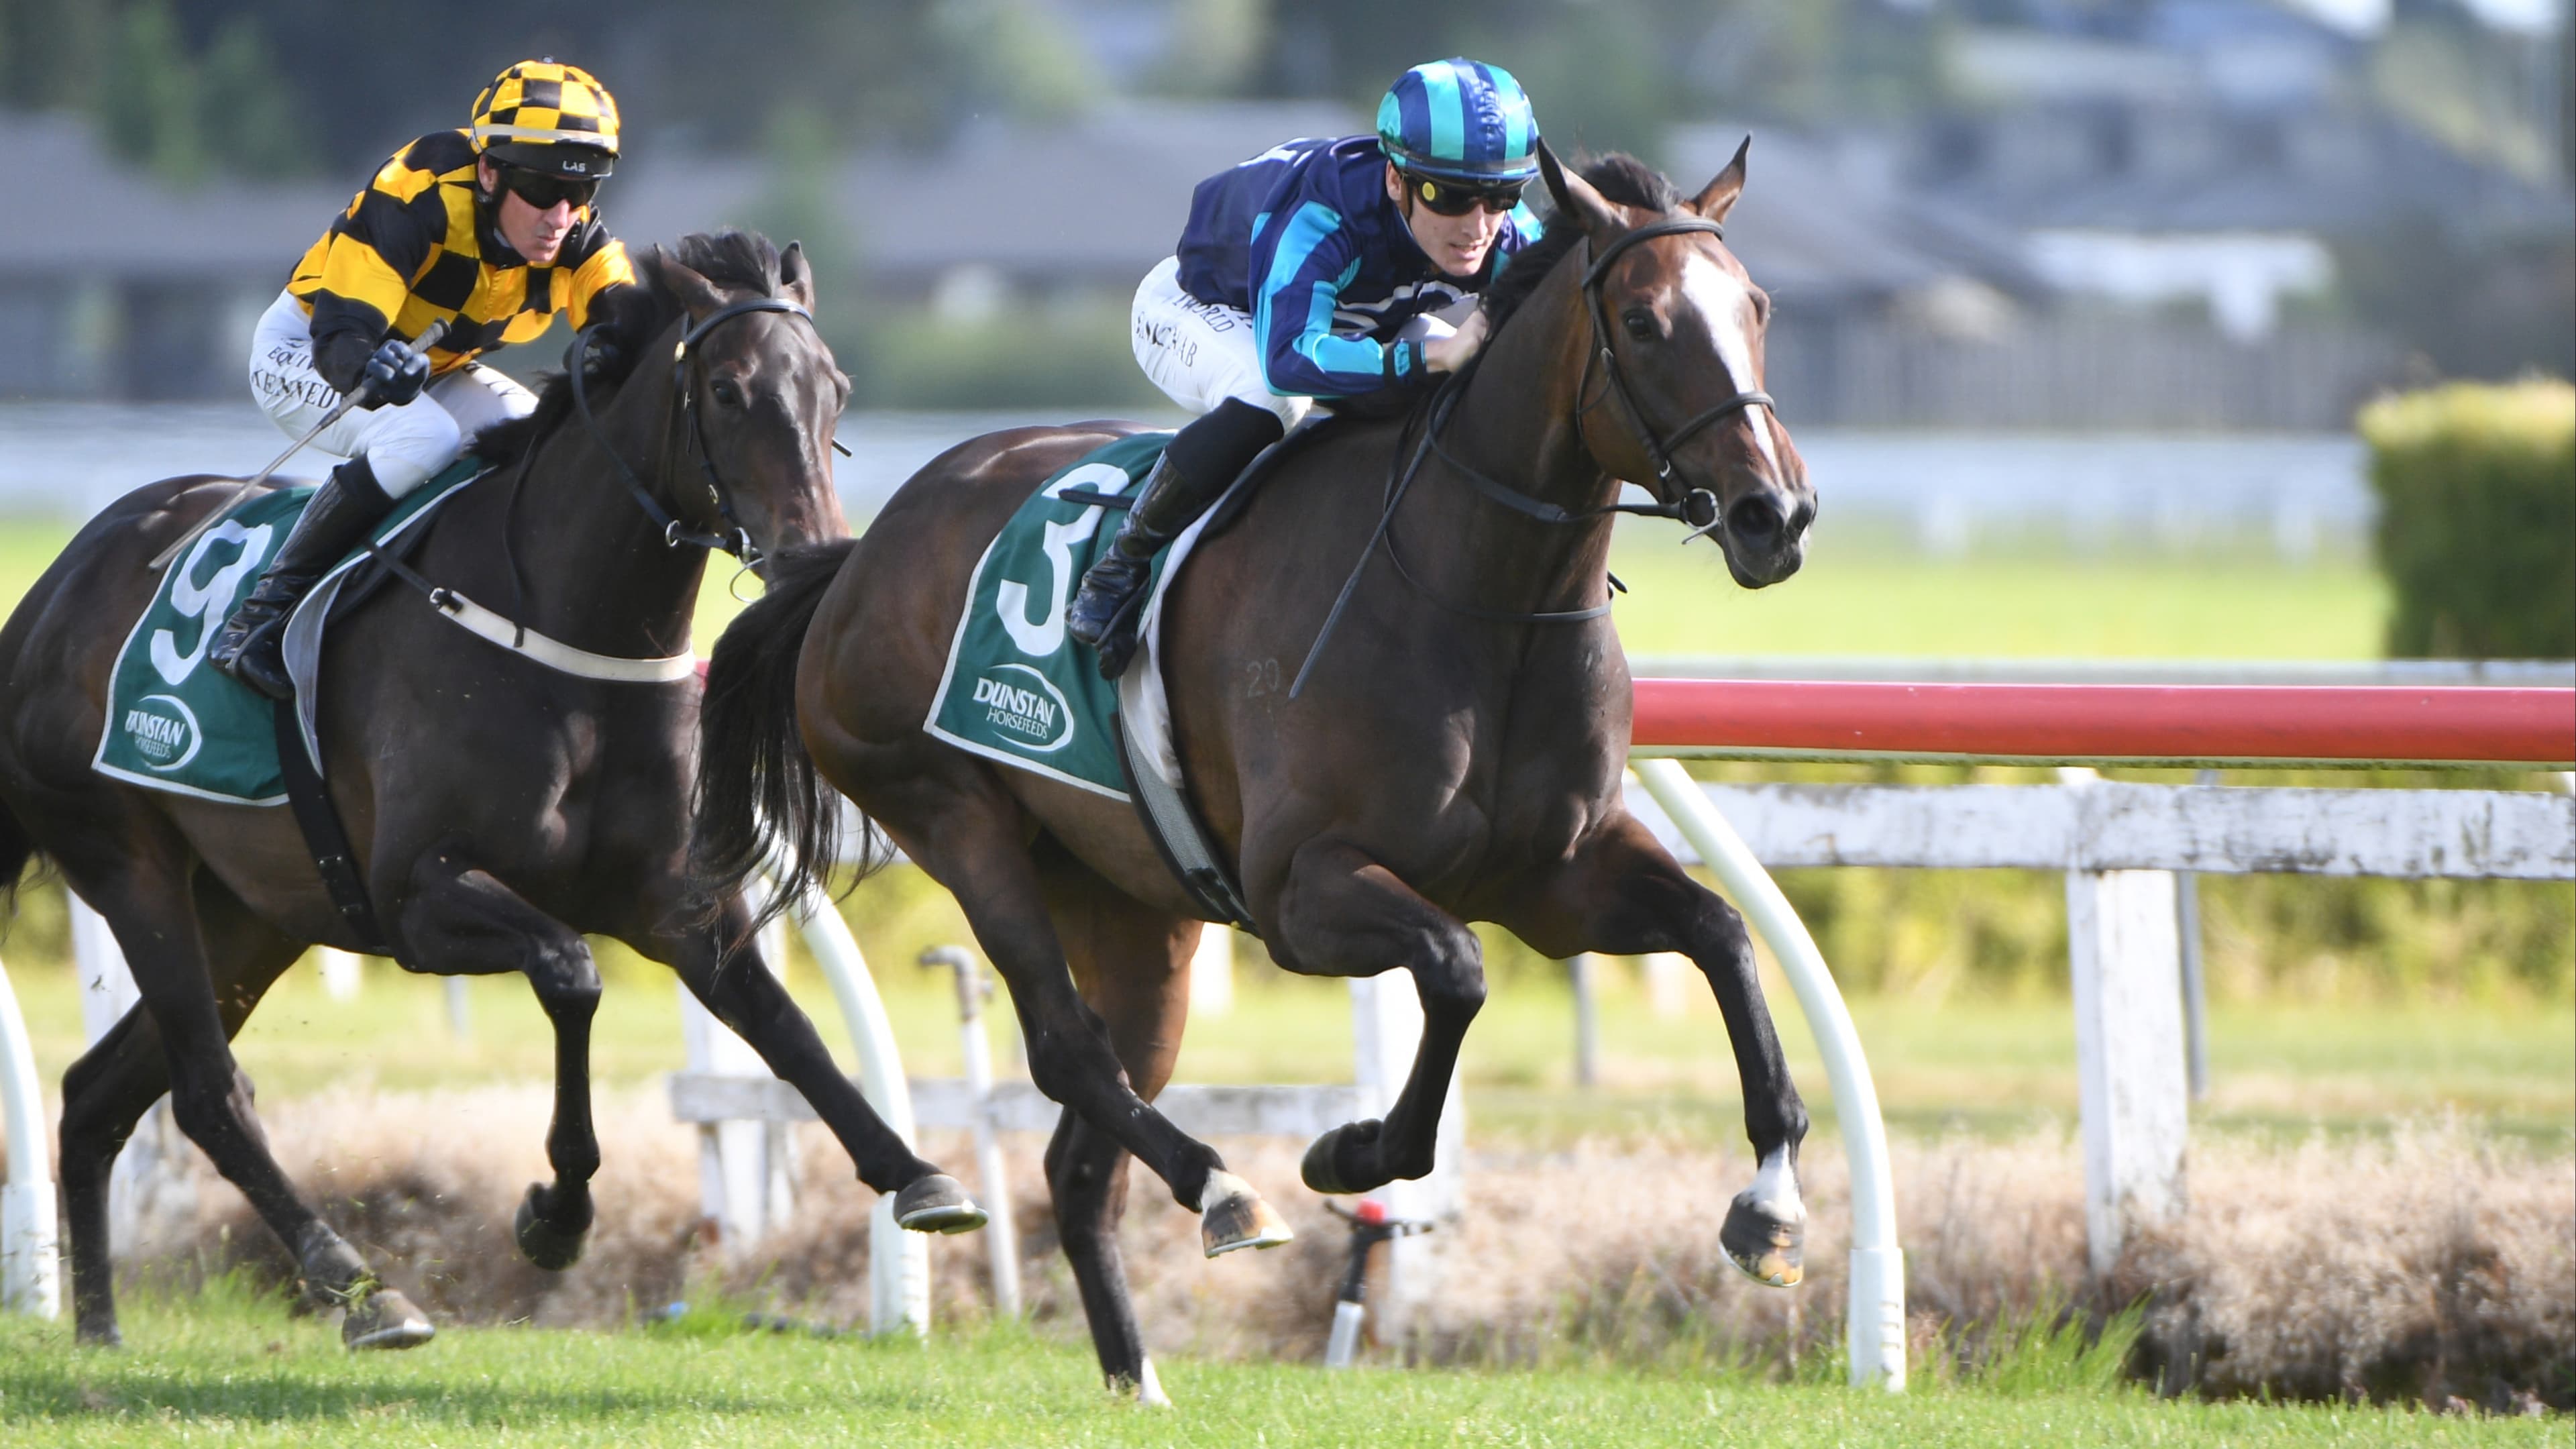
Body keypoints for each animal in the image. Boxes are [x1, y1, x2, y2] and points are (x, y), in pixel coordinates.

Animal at [0, 230, 981, 1350]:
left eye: (835, 389)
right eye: (730, 390)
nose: (815, 551)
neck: (565, 632)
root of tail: (49, 594)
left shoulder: (677, 901)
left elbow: (788, 1029)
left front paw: (916, 1176)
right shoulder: (417, 900)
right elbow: (572, 975)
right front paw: (556, 1215)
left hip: (250, 915)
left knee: (98, 1094)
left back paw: (99, 1329)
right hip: (132, 866)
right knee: (206, 1092)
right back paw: (360, 1287)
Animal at [691, 145, 1817, 1395]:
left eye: (1757, 307)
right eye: (1645, 319)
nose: (1776, 513)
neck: (1475, 588)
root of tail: (854, 561)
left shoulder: (1559, 881)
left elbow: (1723, 934)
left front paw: (1770, 1208)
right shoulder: (1299, 892)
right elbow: (1458, 969)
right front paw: (1352, 1151)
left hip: (1134, 911)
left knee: (1083, 1150)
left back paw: (1139, 1371)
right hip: (952, 816)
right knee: (1064, 1046)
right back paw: (1224, 1189)